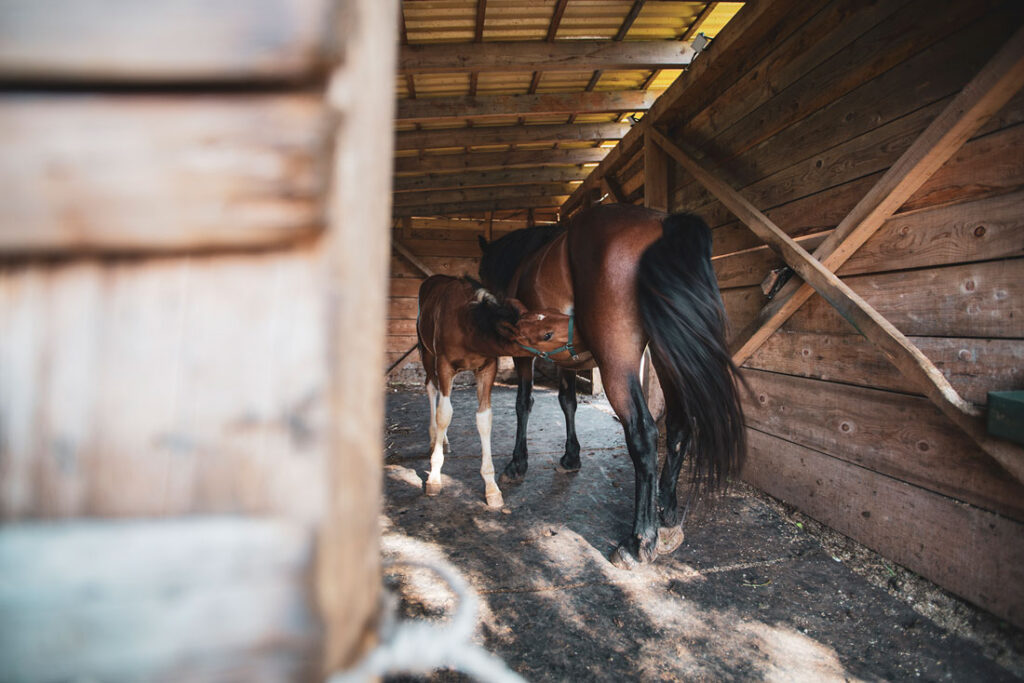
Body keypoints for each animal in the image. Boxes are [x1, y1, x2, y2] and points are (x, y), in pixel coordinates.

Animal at [417, 276, 577, 507]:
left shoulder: (487, 369)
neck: (468, 325)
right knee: (432, 388)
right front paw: (435, 478)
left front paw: (491, 488)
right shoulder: (444, 365)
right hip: (428, 354)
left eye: (557, 313)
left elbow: (484, 419)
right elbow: (444, 414)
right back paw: (434, 439)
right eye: (547, 334)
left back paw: (444, 439)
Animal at [475, 202, 749, 565]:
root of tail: (664, 222)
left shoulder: (525, 355)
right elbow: (567, 402)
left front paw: (518, 464)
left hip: (616, 360)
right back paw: (666, 512)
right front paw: (571, 457)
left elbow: (524, 404)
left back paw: (639, 541)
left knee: (643, 433)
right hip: (667, 355)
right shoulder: (567, 357)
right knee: (679, 426)